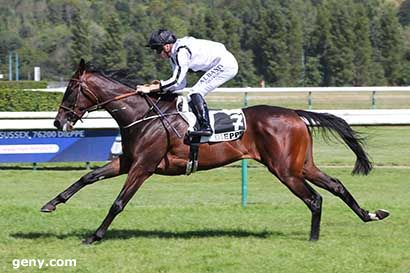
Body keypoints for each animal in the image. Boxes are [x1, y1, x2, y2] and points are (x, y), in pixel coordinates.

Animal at [40, 59, 390, 242]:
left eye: (70, 90)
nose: (58, 121)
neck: (143, 115)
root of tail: (294, 113)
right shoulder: (128, 161)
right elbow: (87, 177)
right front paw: (51, 203)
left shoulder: (143, 166)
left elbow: (118, 202)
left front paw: (94, 236)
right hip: (301, 164)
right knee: (337, 186)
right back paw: (371, 214)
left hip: (284, 169)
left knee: (315, 198)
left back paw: (314, 238)